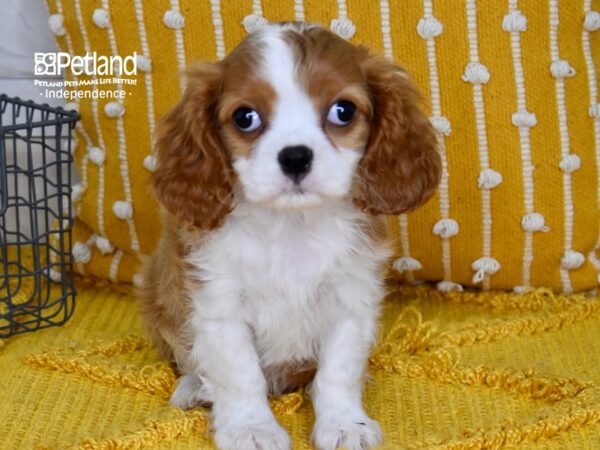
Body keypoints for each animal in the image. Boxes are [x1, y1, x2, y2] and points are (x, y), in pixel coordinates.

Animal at [141, 22, 440, 450]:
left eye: (343, 111)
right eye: (245, 117)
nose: (295, 156)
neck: (291, 226)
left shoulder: (349, 301)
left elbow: (338, 371)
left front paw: (345, 424)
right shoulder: (220, 304)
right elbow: (239, 374)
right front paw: (251, 429)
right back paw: (193, 388)